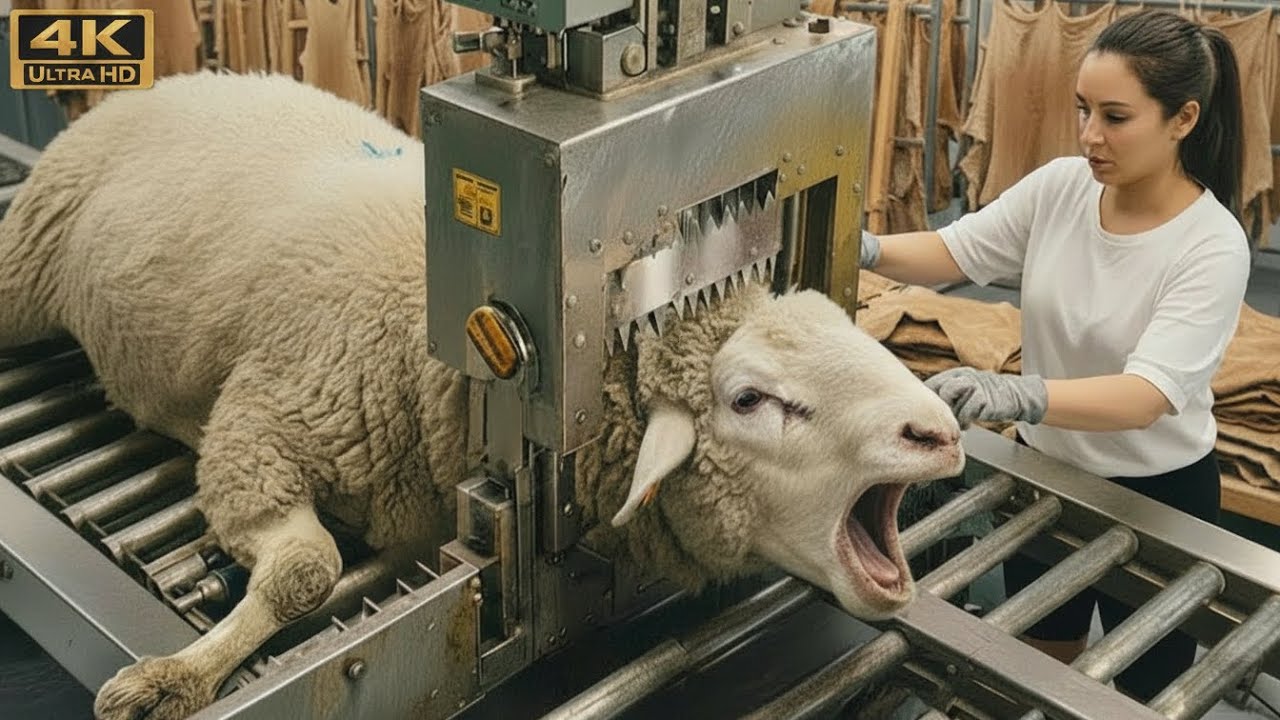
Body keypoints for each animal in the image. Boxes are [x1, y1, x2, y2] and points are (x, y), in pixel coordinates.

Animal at [0, 71, 965, 720]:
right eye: (751, 399)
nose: (942, 434)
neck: (453, 381)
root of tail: (165, 82)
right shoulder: (259, 424)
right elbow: (309, 573)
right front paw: (174, 678)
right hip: (24, 270)